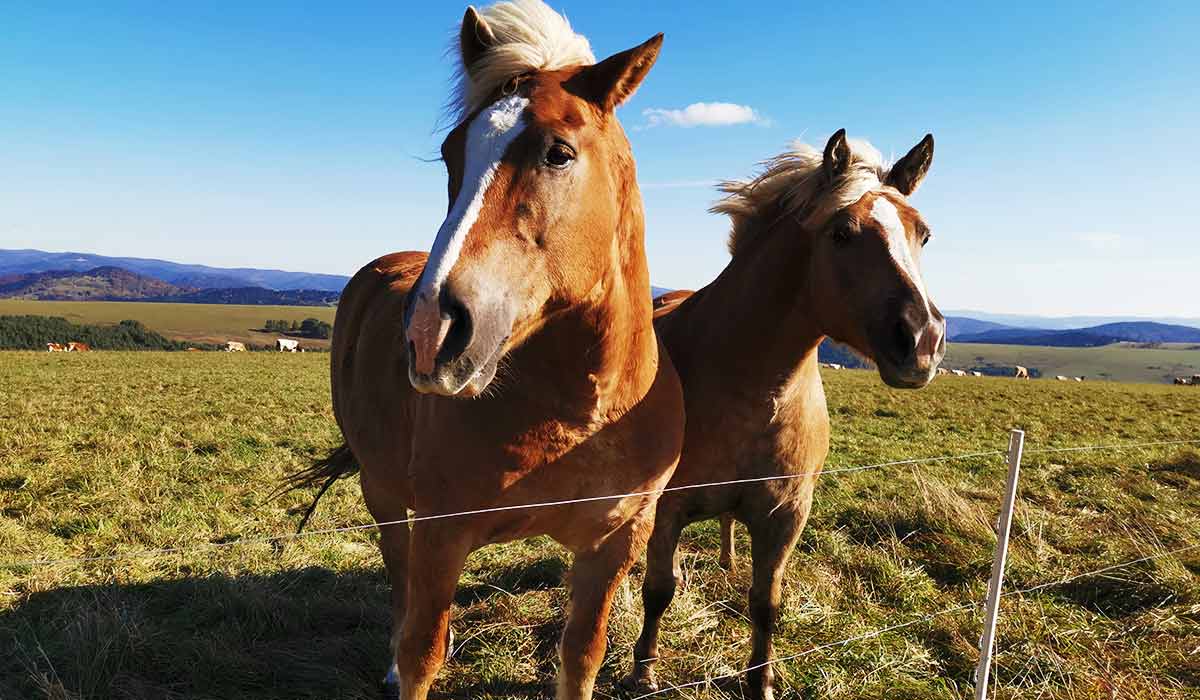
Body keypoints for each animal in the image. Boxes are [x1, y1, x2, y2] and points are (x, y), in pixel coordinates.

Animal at [286, 2, 681, 696]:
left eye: (558, 153)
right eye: (451, 154)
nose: (430, 332)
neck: (576, 415)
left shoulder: (613, 544)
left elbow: (581, 654)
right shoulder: (441, 536)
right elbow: (423, 652)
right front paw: (406, 666)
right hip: (384, 495)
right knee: (397, 583)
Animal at [619, 128, 945, 696]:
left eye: (922, 234)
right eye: (841, 233)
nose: (922, 341)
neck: (755, 389)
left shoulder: (786, 515)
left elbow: (765, 604)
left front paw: (760, 682)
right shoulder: (667, 508)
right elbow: (660, 588)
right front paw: (644, 670)